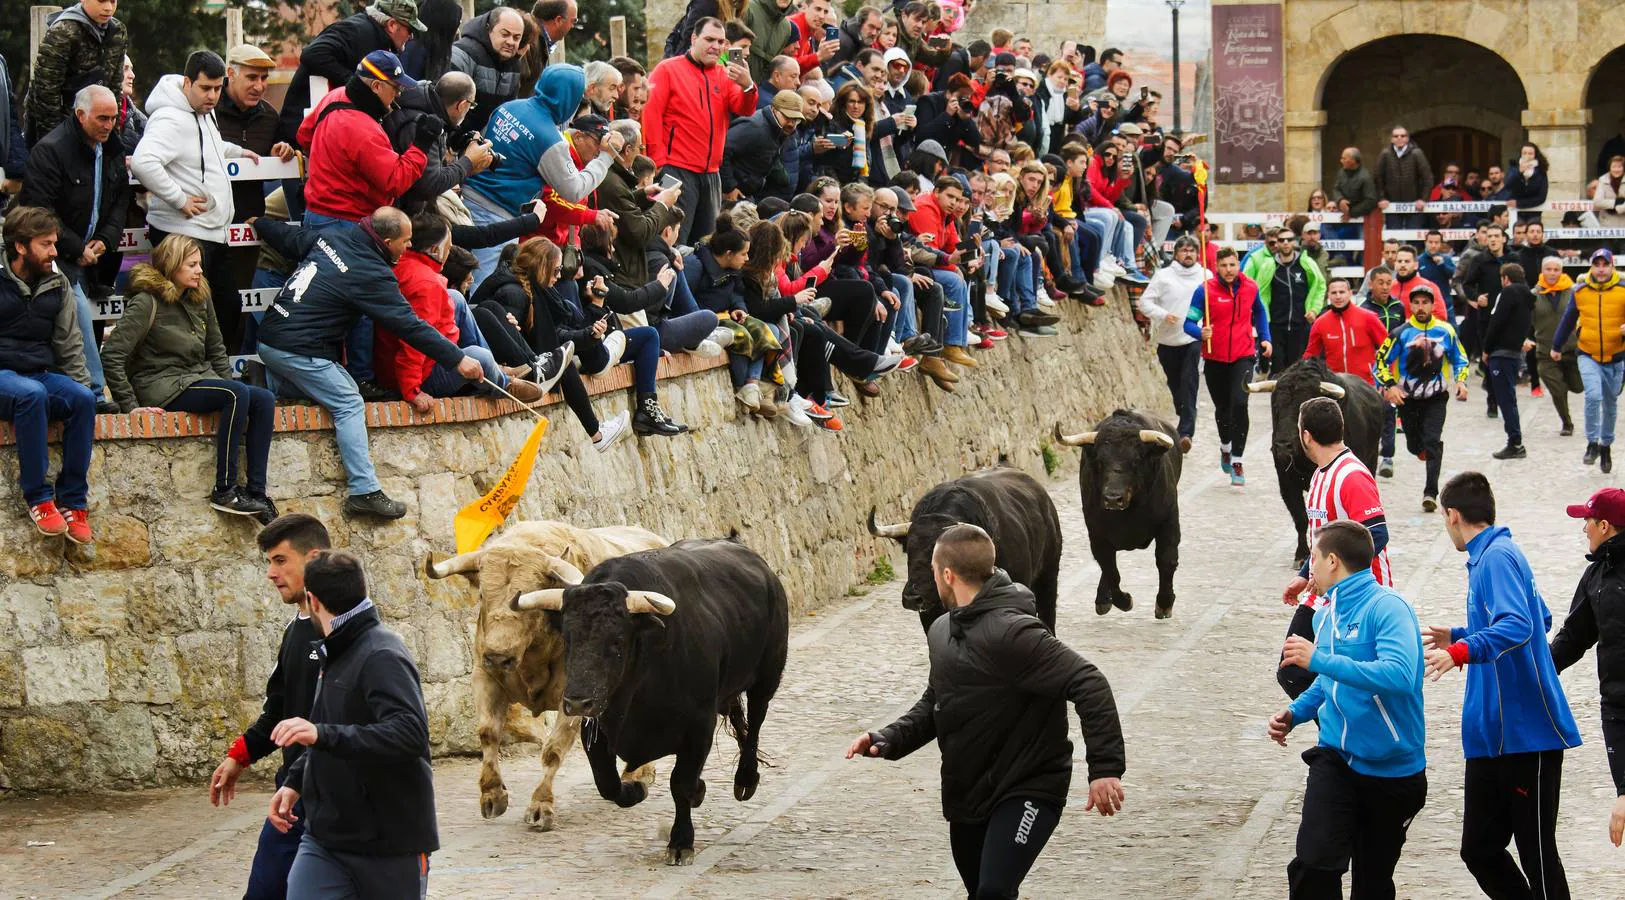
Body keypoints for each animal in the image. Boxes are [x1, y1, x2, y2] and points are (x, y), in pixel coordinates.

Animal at [425, 519, 672, 825]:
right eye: (482, 594)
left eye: (525, 599)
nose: (498, 655)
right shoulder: (485, 676)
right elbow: (487, 732)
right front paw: (492, 794)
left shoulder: (576, 698)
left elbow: (554, 749)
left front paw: (540, 805)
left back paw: (638, 776)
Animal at [507, 536, 786, 864]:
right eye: (568, 638)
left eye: (617, 641)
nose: (577, 703)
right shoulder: (595, 729)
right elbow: (608, 784)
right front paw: (637, 789)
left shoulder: (699, 726)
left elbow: (681, 783)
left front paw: (681, 842)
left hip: (767, 676)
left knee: (755, 721)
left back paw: (745, 779)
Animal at [1053, 406, 1183, 617]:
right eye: (1099, 461)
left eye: (1136, 459)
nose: (1113, 499)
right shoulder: (1097, 534)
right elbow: (1110, 570)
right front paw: (1123, 601)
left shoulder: (1169, 520)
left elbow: (1166, 560)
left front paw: (1164, 604)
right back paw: (1103, 600)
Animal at [1241, 355, 1384, 558]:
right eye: (1276, 405)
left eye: (1301, 407)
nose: (1282, 446)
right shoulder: (1286, 481)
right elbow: (1300, 517)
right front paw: (1301, 553)